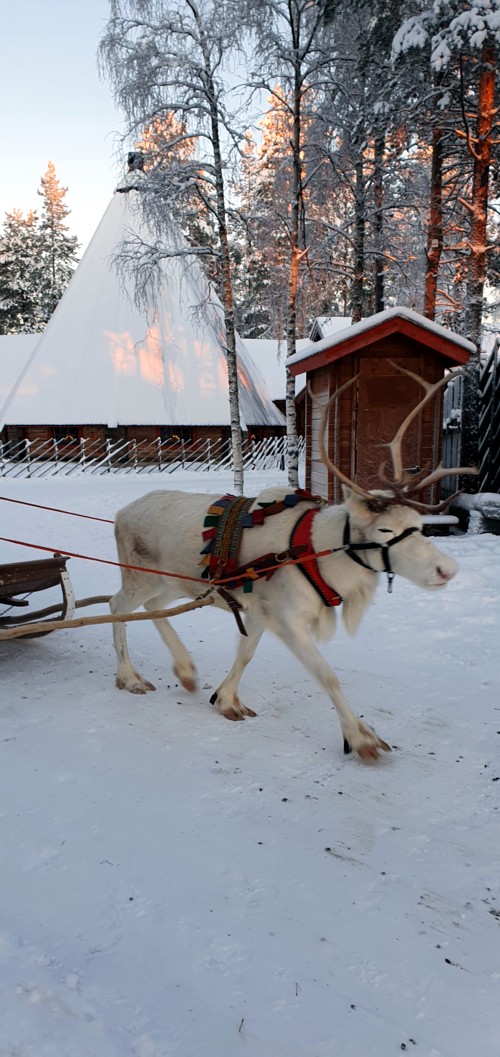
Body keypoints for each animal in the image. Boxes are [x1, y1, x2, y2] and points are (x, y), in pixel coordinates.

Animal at [110, 365, 475, 761]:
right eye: (385, 529)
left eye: (419, 525)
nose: (446, 569)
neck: (323, 558)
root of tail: (120, 513)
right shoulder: (287, 620)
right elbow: (327, 674)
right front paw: (360, 738)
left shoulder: (258, 611)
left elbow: (246, 654)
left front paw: (226, 699)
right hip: (140, 576)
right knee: (117, 606)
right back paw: (129, 676)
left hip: (174, 582)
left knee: (154, 608)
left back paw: (186, 670)